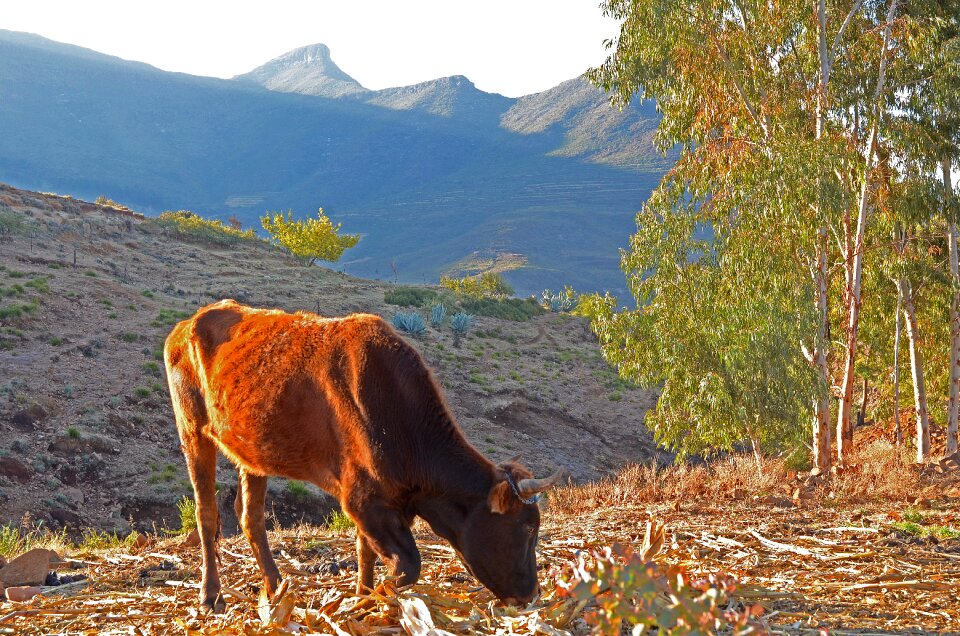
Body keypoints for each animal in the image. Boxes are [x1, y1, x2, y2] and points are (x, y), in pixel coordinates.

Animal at [165, 300, 564, 612]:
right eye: (527, 528)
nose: (531, 593)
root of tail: (188, 323)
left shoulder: (377, 499)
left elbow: (366, 552)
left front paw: (362, 595)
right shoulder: (362, 499)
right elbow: (407, 566)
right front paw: (366, 600)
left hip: (251, 450)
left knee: (251, 517)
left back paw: (275, 588)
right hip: (192, 430)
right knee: (206, 513)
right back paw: (211, 596)